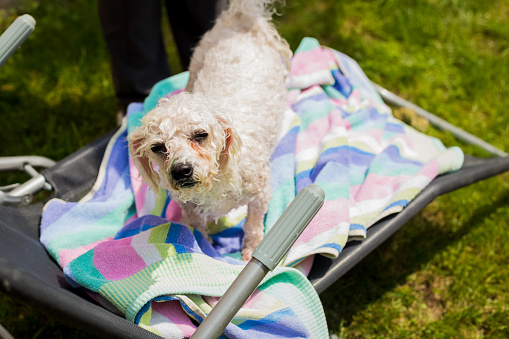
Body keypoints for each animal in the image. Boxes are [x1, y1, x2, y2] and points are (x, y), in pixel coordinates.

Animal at [129, 0, 292, 262]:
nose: (181, 170)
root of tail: (240, 17)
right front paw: (203, 247)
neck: (215, 176)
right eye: (157, 147)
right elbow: (197, 228)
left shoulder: (259, 192)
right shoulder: (189, 208)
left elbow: (253, 225)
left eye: (200, 135)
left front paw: (251, 250)